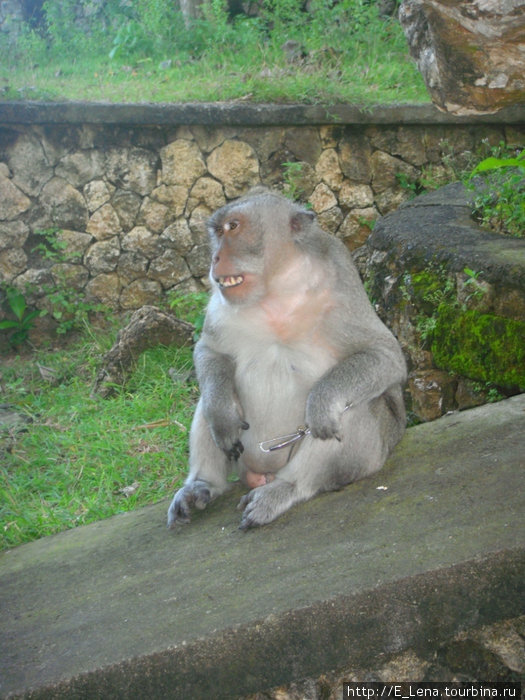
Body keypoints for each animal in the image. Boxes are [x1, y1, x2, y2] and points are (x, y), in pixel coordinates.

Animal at [168, 189, 406, 528]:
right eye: (217, 232)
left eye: (233, 227)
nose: (214, 258)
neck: (276, 288)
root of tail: (261, 474)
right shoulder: (220, 302)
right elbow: (211, 350)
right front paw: (221, 414)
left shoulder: (342, 287)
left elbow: (385, 355)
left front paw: (321, 401)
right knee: (213, 397)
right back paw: (202, 484)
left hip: (369, 456)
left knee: (353, 408)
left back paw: (285, 489)